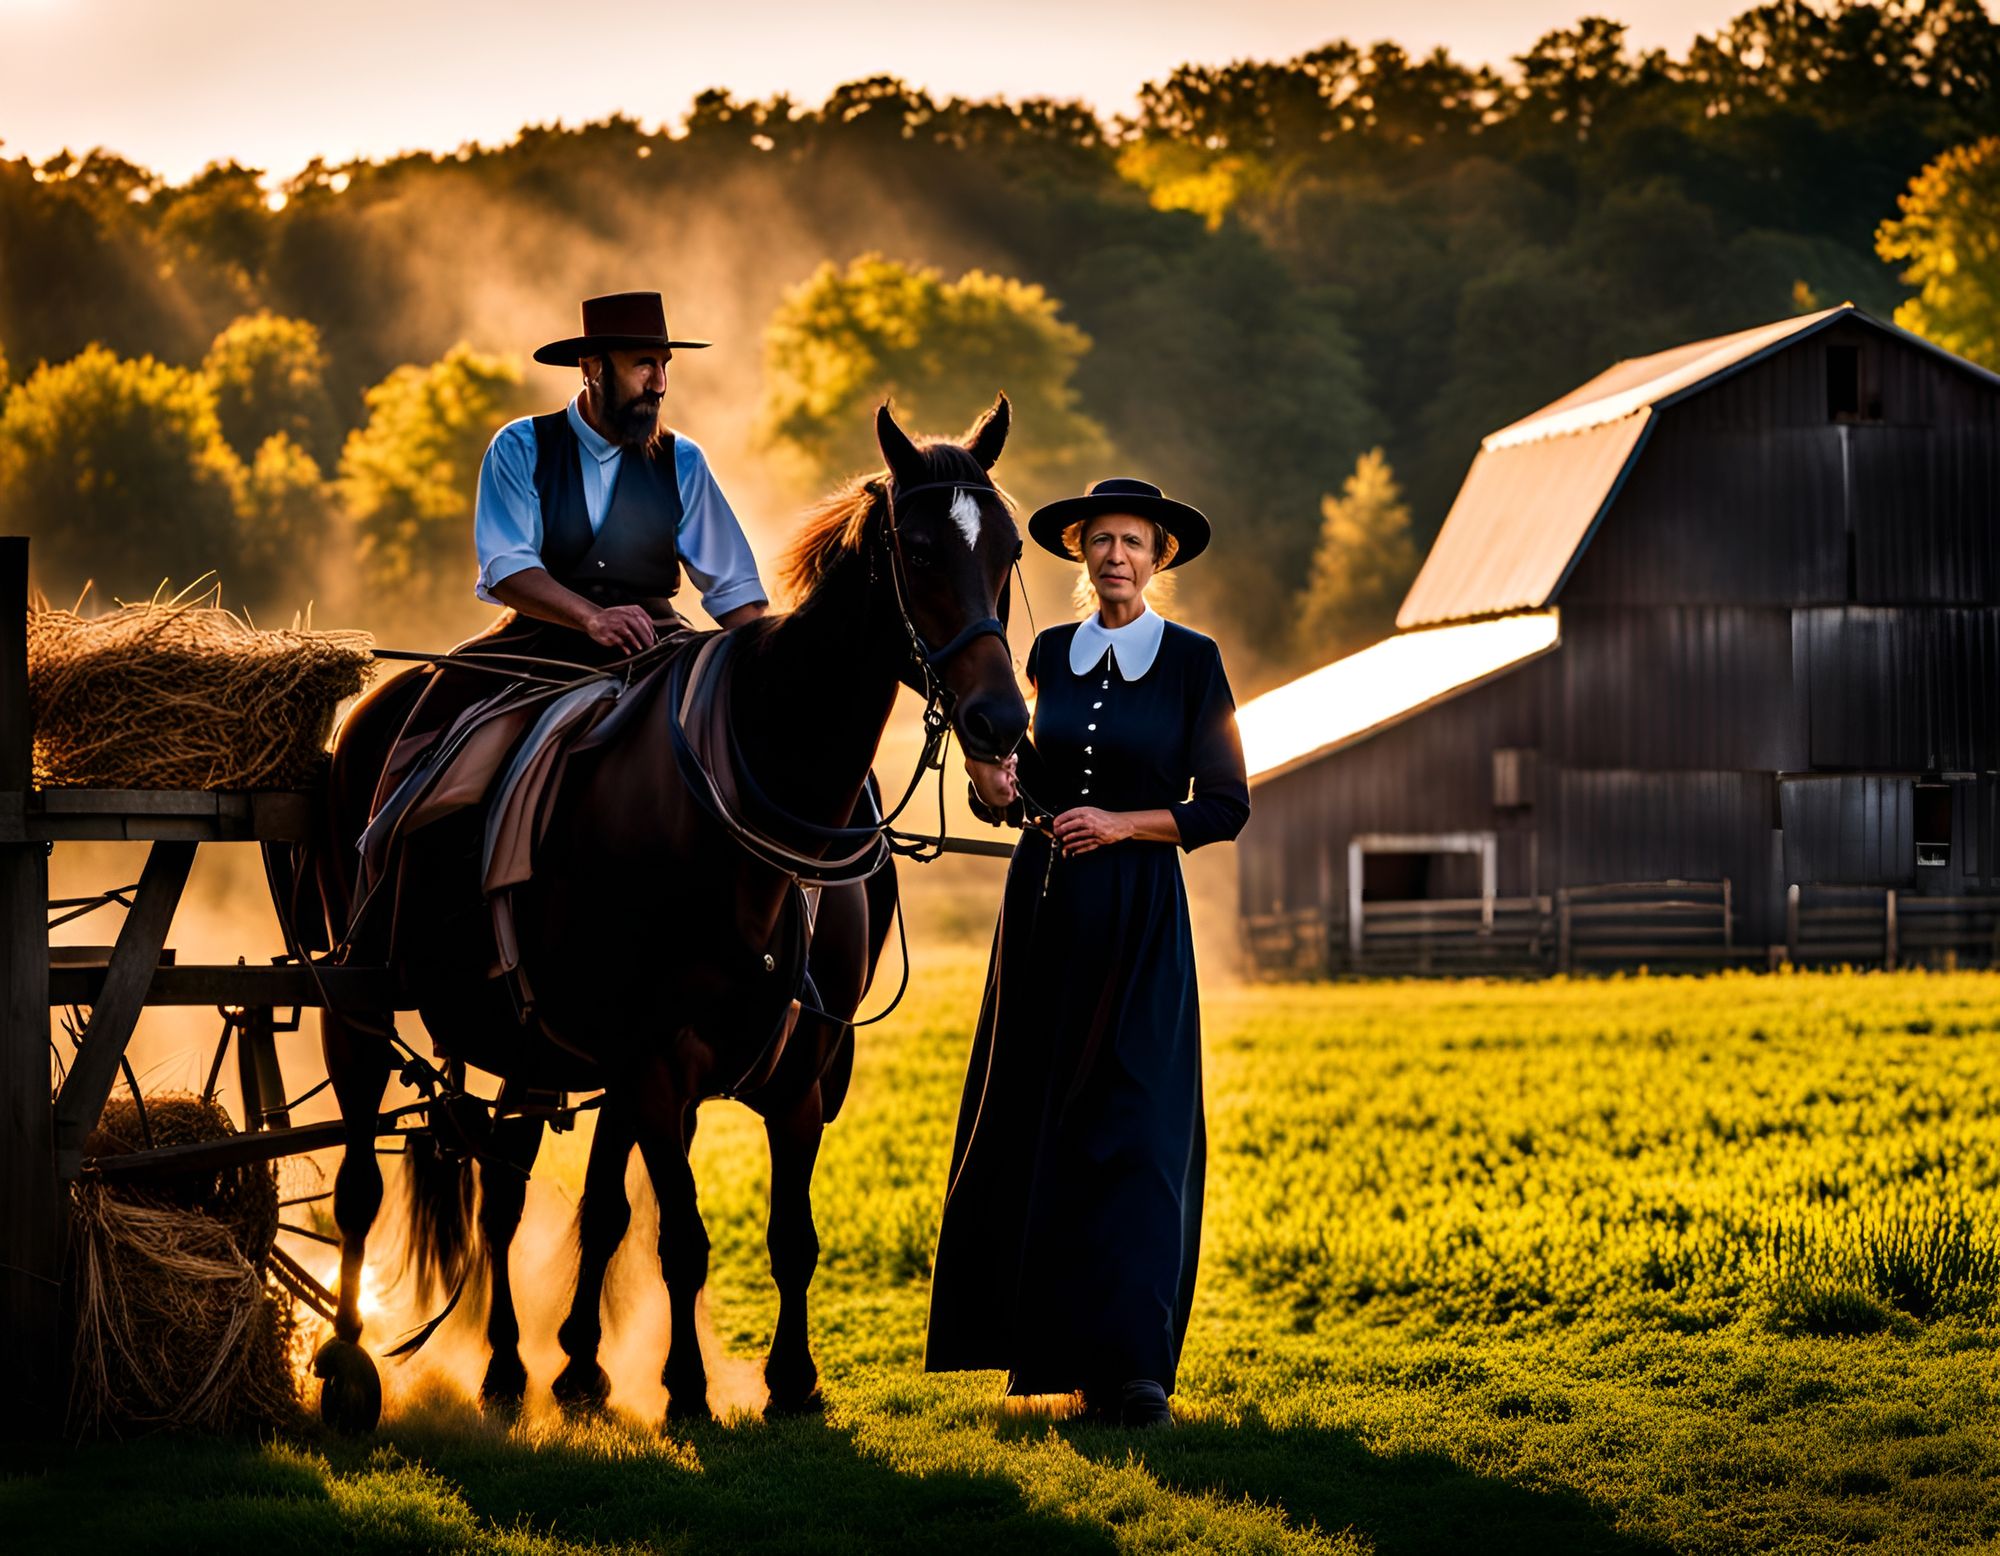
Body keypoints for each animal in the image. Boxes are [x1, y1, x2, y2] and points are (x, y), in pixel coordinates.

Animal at [296, 394, 1032, 1424]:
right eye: (921, 551)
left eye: (1006, 546)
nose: (1001, 723)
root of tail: (377, 706)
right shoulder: (654, 1055)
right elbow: (681, 1235)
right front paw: (684, 1388)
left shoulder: (798, 1071)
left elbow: (773, 1234)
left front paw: (784, 1381)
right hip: (359, 1002)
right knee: (362, 1184)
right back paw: (351, 1359)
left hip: (532, 1045)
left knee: (507, 1193)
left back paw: (515, 1367)